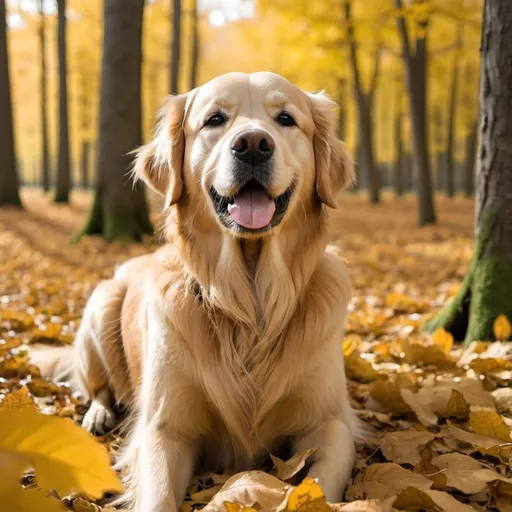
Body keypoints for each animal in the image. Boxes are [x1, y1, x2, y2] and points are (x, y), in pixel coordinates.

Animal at [34, 73, 358, 512]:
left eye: (286, 119)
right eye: (215, 119)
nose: (253, 144)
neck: (249, 302)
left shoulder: (330, 424)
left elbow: (318, 484)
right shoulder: (165, 428)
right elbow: (157, 495)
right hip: (102, 303)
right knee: (98, 386)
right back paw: (98, 415)